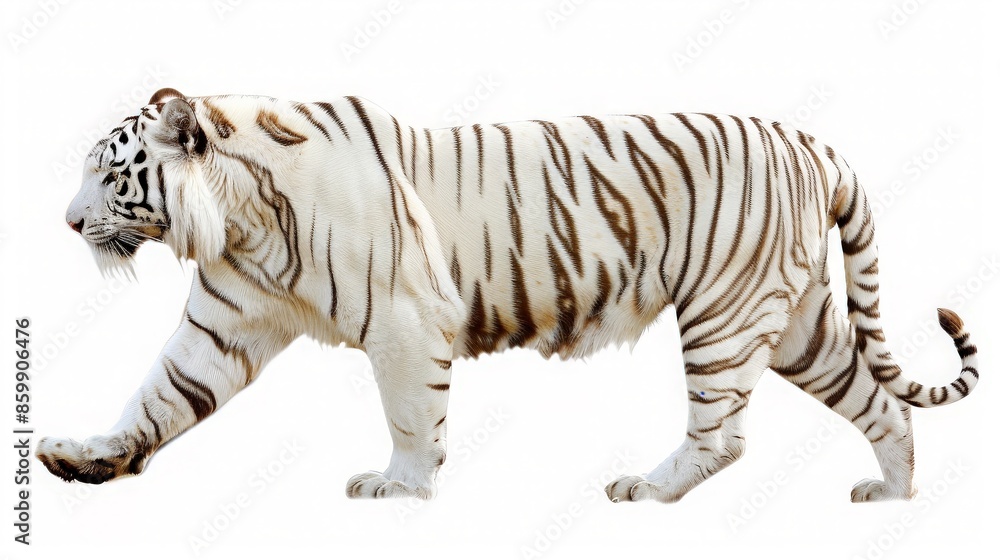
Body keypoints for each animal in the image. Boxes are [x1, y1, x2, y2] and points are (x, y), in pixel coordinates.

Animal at [37, 87, 979, 504]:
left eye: (110, 174)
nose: (68, 222)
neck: (240, 221)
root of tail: (814, 143)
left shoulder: (407, 321)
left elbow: (411, 415)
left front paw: (400, 489)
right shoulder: (224, 324)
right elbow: (161, 397)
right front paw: (85, 459)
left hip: (725, 313)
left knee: (725, 436)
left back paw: (647, 489)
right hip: (796, 325)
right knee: (881, 404)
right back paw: (894, 495)